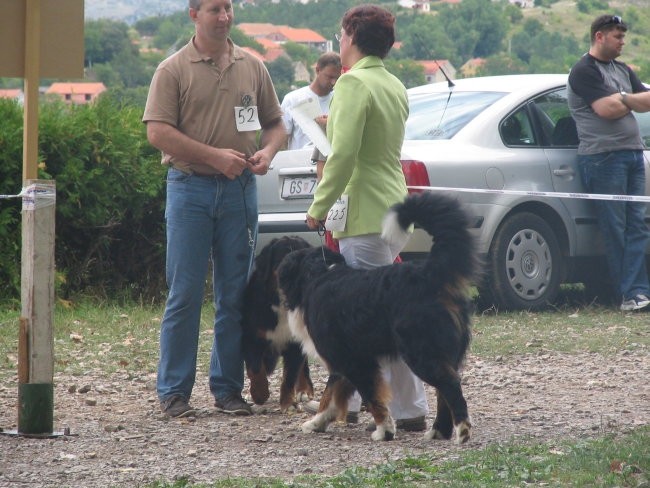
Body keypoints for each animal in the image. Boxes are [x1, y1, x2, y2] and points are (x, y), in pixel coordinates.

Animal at [242, 236, 316, 412]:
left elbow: (290, 376)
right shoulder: (252, 336)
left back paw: (304, 390)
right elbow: (256, 369)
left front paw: (288, 403)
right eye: (283, 256)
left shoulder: (295, 343)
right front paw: (259, 394)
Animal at [278, 193, 476, 442]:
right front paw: (317, 422)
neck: (318, 275)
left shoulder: (355, 361)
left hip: (421, 352)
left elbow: (371, 397)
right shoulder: (344, 359)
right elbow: (330, 395)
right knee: (443, 391)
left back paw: (462, 430)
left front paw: (385, 429)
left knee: (450, 384)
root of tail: (427, 274)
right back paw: (439, 430)